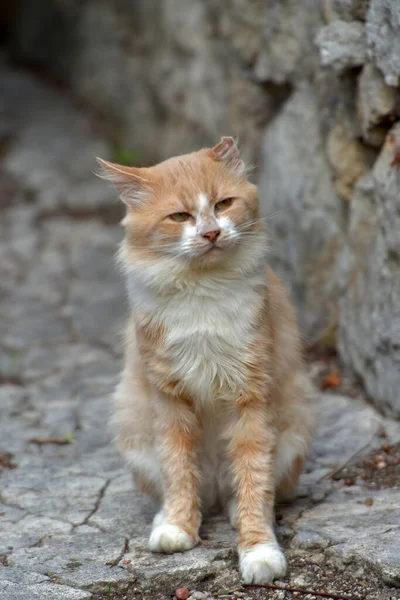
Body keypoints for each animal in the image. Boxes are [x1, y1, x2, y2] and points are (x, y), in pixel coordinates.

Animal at [97, 138, 316, 584]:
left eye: (223, 204)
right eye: (180, 216)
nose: (212, 232)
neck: (203, 289)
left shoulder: (251, 398)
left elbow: (253, 480)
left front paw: (259, 552)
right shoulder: (169, 398)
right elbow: (179, 472)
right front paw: (178, 528)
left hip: (293, 428)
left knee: (243, 490)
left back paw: (232, 513)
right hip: (134, 430)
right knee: (185, 487)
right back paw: (169, 518)